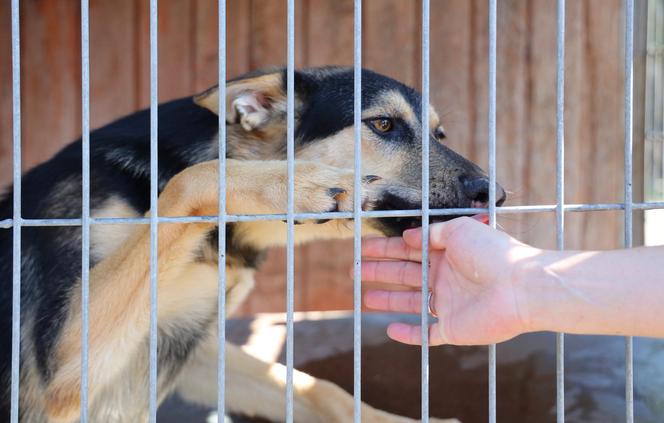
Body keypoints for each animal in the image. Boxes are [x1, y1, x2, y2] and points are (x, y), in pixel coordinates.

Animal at [0, 68, 506, 422]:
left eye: (439, 135)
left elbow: (321, 390)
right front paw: (296, 183)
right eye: (383, 124)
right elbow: (197, 175)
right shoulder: (64, 361)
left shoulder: (188, 337)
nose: (495, 193)